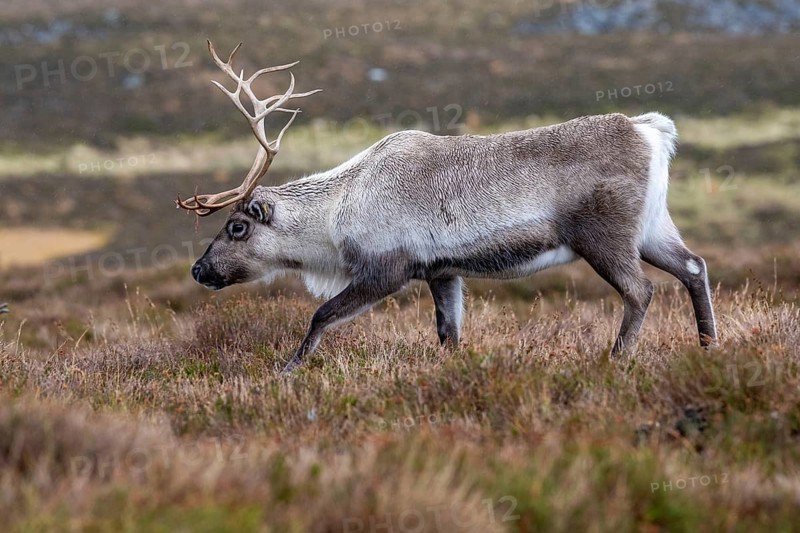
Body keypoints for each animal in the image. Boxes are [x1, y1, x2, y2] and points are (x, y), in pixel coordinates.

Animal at [177, 41, 718, 373]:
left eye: (237, 226)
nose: (199, 269)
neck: (335, 213)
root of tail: (651, 130)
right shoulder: (442, 271)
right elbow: (449, 334)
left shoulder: (385, 270)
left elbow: (321, 316)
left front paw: (286, 371)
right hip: (652, 228)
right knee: (694, 266)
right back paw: (709, 347)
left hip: (604, 235)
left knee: (641, 290)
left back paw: (616, 359)